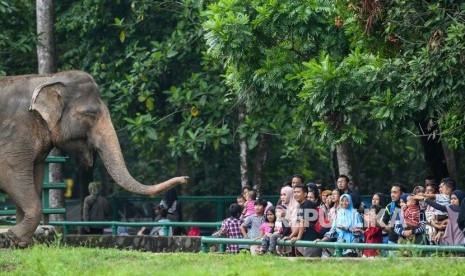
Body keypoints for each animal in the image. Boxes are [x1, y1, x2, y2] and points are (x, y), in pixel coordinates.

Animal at [0, 70, 188, 247]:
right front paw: (11, 236)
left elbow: (34, 179)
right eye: (90, 113)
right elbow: (11, 175)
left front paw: (20, 242)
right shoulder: (15, 134)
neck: (48, 78)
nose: (185, 178)